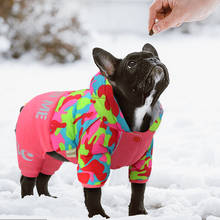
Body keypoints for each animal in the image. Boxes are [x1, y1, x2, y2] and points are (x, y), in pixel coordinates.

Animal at [17, 43, 169, 218]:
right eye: (131, 64)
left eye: (156, 57)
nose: (154, 60)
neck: (137, 110)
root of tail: (25, 106)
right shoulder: (93, 159)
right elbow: (94, 192)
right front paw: (98, 215)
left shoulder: (143, 160)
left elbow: (138, 188)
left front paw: (137, 213)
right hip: (31, 152)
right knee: (28, 179)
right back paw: (28, 201)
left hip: (53, 156)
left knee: (43, 177)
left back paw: (47, 198)